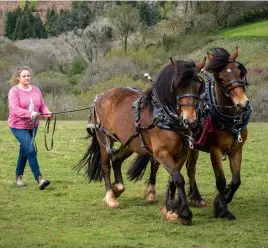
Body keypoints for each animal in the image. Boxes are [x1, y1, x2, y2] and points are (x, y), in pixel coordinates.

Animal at [75, 58, 205, 225]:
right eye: (177, 86)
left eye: (199, 86)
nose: (190, 120)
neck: (165, 117)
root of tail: (101, 96)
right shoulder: (161, 153)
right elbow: (179, 179)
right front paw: (184, 213)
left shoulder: (182, 154)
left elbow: (173, 180)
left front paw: (169, 209)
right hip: (104, 139)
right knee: (105, 166)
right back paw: (110, 197)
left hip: (130, 142)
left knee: (116, 159)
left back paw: (118, 188)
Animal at [186, 47, 251, 220]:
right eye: (221, 79)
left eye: (240, 73)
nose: (242, 104)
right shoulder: (215, 150)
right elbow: (220, 180)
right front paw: (222, 208)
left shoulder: (237, 149)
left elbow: (236, 180)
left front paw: (226, 196)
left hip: (193, 146)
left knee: (190, 168)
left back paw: (196, 197)